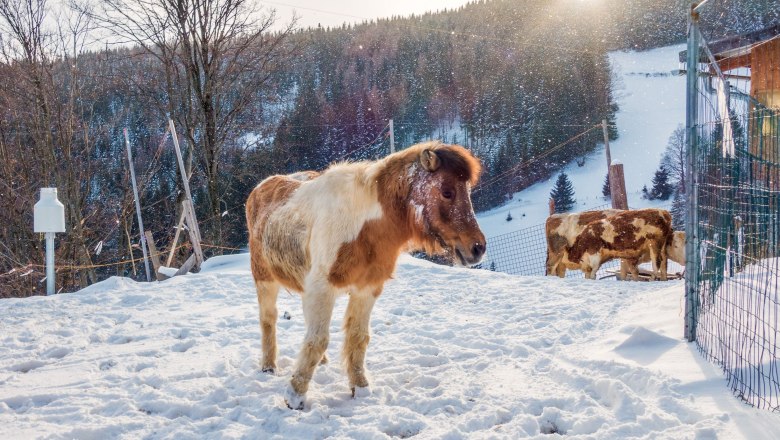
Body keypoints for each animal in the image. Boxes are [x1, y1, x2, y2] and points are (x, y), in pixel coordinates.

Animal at [245, 141, 486, 409]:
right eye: (447, 192)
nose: (477, 248)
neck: (362, 225)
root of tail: (260, 187)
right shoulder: (322, 288)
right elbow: (318, 340)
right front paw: (295, 396)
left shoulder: (367, 288)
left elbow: (358, 337)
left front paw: (359, 388)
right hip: (264, 278)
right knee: (269, 319)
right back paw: (268, 367)